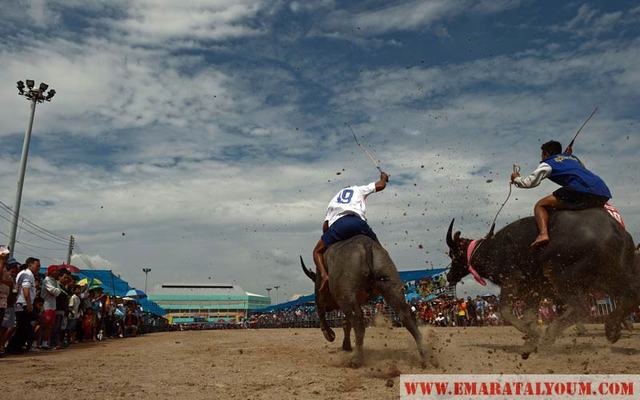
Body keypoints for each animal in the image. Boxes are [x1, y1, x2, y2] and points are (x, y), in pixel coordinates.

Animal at [302, 234, 436, 368]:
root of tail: (365, 244)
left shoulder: (323, 293)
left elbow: (322, 312)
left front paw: (330, 335)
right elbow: (345, 323)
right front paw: (346, 346)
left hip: (346, 298)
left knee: (358, 323)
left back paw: (356, 360)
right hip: (389, 282)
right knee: (406, 315)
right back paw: (424, 355)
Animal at [448, 209, 636, 356]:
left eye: (453, 253)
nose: (449, 276)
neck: (492, 249)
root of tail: (616, 231)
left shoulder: (512, 281)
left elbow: (506, 312)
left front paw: (535, 335)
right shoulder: (534, 289)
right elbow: (529, 316)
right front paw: (530, 340)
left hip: (564, 278)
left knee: (582, 307)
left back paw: (549, 336)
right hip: (611, 278)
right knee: (629, 297)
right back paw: (612, 329)